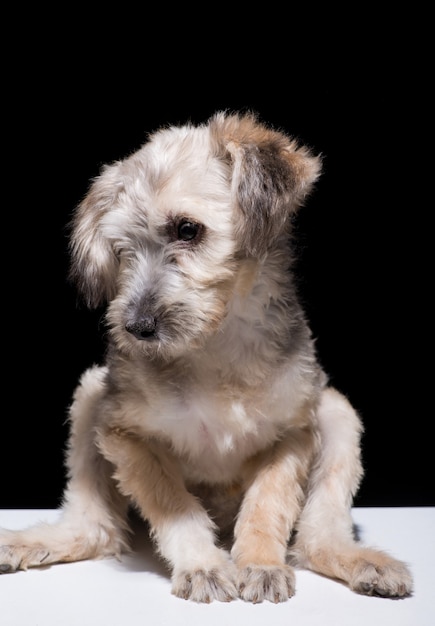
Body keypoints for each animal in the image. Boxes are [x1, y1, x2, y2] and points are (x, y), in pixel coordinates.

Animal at [0, 111, 416, 600]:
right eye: (122, 249)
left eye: (187, 229)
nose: (136, 327)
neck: (214, 348)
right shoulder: (123, 435)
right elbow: (174, 504)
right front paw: (204, 565)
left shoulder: (292, 435)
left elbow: (267, 504)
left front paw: (259, 564)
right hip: (88, 397)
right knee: (94, 530)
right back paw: (30, 543)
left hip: (337, 413)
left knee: (316, 537)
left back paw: (362, 562)